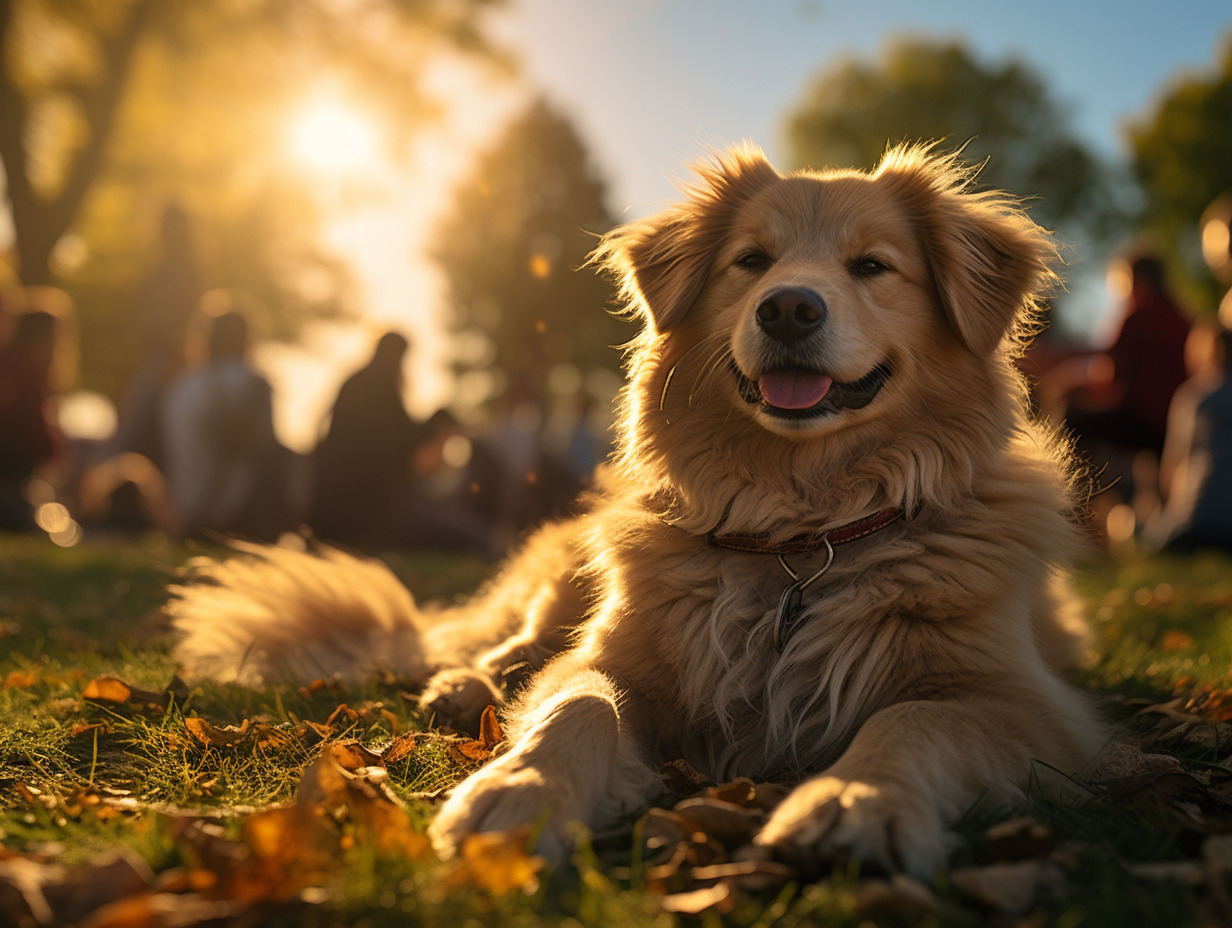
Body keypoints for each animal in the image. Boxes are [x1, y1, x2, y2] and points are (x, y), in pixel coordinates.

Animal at [168, 142, 1103, 877]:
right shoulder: (618, 657)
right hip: (568, 582)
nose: (789, 308)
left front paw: (853, 799)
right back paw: (465, 686)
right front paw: (517, 791)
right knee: (504, 646)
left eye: (871, 266)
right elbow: (575, 703)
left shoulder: (1025, 708)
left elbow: (911, 721)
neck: (802, 529)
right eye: (751, 262)